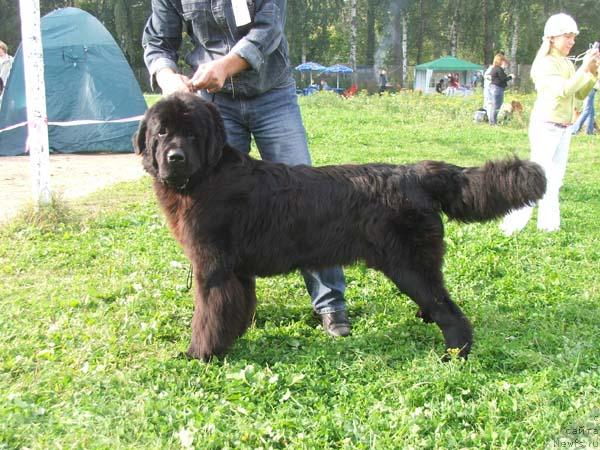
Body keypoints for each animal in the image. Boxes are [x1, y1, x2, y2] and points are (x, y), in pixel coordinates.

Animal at [134, 92, 548, 362]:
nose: (175, 157)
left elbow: (207, 315)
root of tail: (416, 172)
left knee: (450, 310)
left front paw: (198, 354)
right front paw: (228, 342)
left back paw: (455, 353)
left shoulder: (212, 269)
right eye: (161, 132)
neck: (207, 177)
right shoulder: (236, 272)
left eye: (192, 133)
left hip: (409, 266)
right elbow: (232, 310)